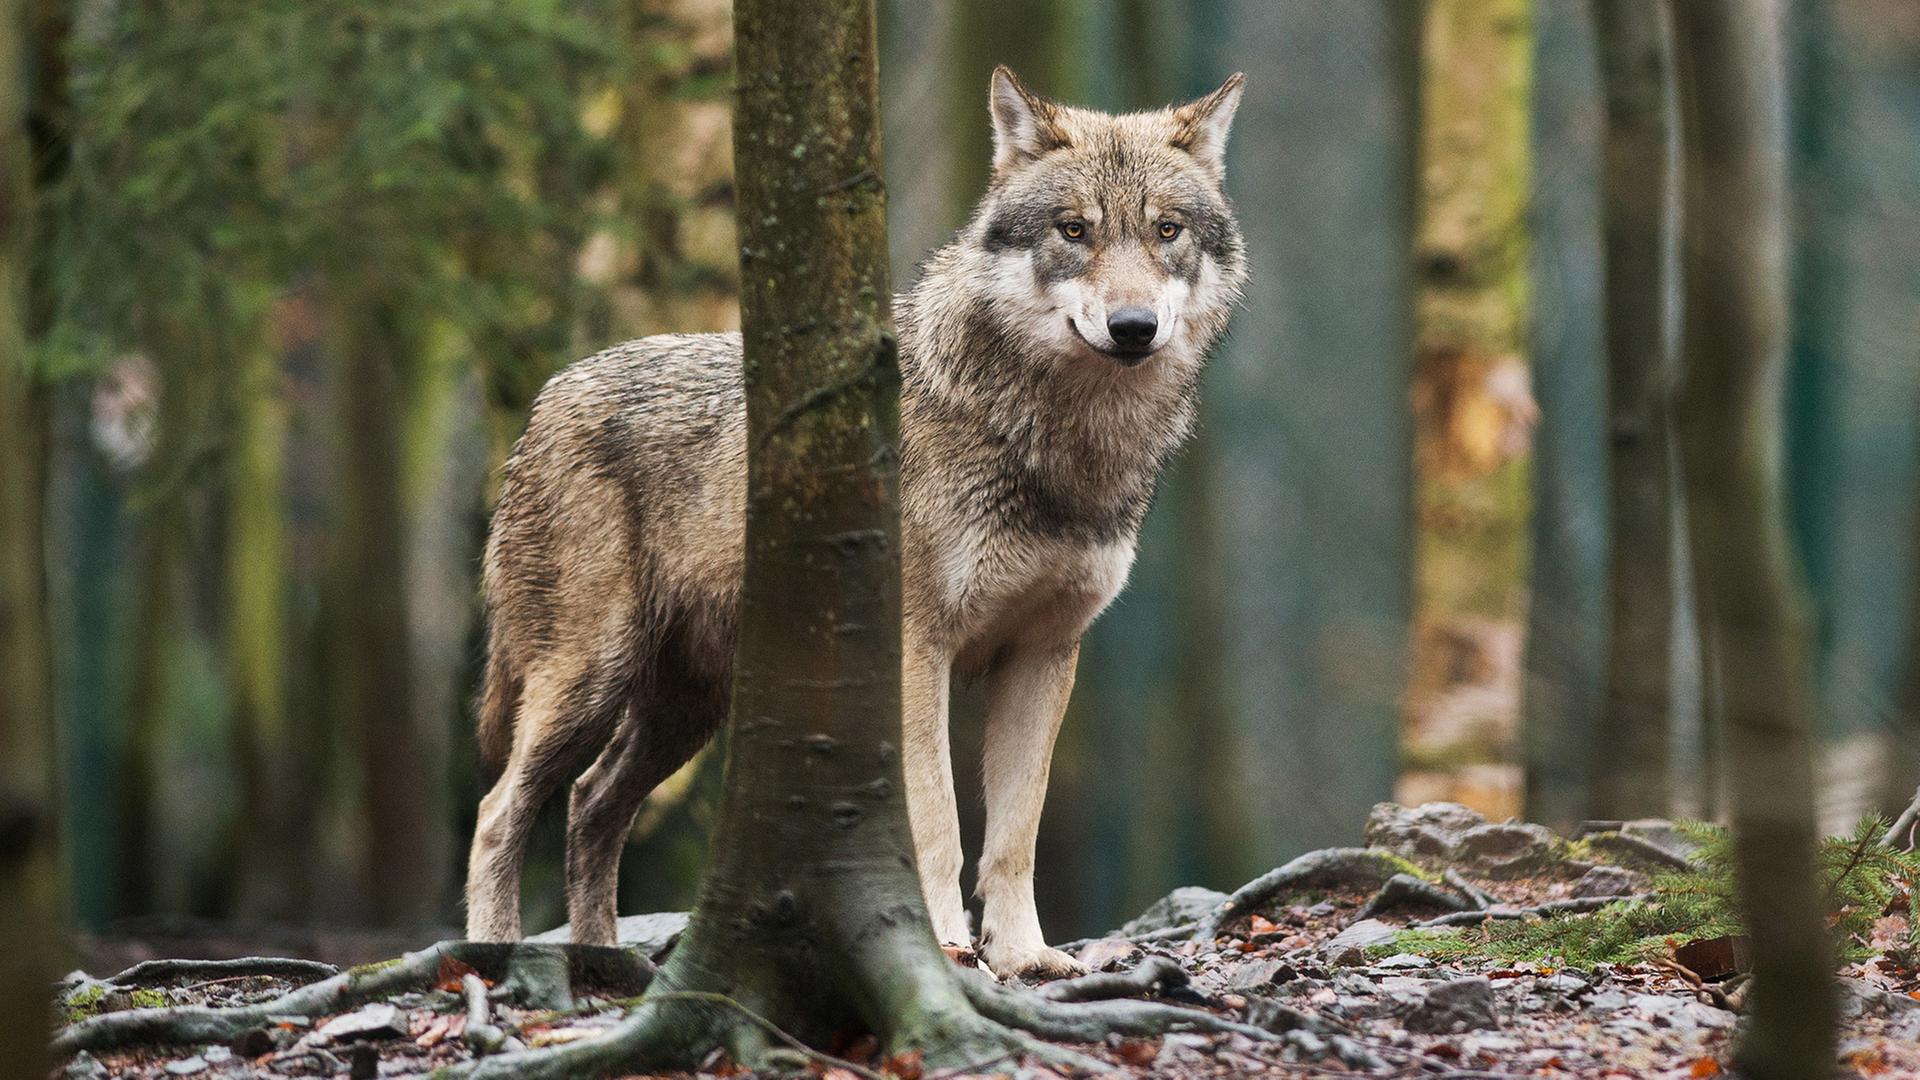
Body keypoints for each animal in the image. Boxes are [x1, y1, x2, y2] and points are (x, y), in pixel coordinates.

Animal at [463, 66, 1247, 979]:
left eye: (1166, 231)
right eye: (1074, 230)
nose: (1132, 327)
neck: (1056, 443)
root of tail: (546, 398)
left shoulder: (1044, 654)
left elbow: (1015, 834)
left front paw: (1025, 957)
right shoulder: (916, 649)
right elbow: (938, 822)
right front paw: (945, 946)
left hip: (685, 710)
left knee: (590, 806)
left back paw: (603, 964)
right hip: (590, 680)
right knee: (499, 813)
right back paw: (494, 957)